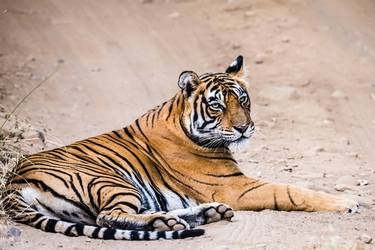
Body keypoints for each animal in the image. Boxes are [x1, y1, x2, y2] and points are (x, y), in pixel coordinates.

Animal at [4, 55, 360, 240]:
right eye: (217, 105)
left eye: (243, 100)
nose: (244, 127)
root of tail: (12, 184)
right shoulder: (235, 187)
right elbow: (291, 191)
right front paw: (347, 202)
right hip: (110, 180)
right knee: (109, 216)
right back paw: (169, 223)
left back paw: (203, 214)